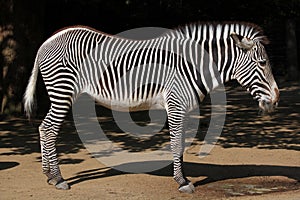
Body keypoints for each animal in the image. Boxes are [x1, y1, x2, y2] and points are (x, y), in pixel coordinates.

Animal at [24, 22, 278, 194]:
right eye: (262, 63)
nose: (276, 98)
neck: (191, 66)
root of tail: (48, 41)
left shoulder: (184, 108)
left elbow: (181, 143)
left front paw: (183, 177)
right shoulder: (175, 104)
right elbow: (176, 143)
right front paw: (182, 182)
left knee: (44, 129)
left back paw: (49, 175)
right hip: (63, 91)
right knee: (48, 129)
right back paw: (58, 178)